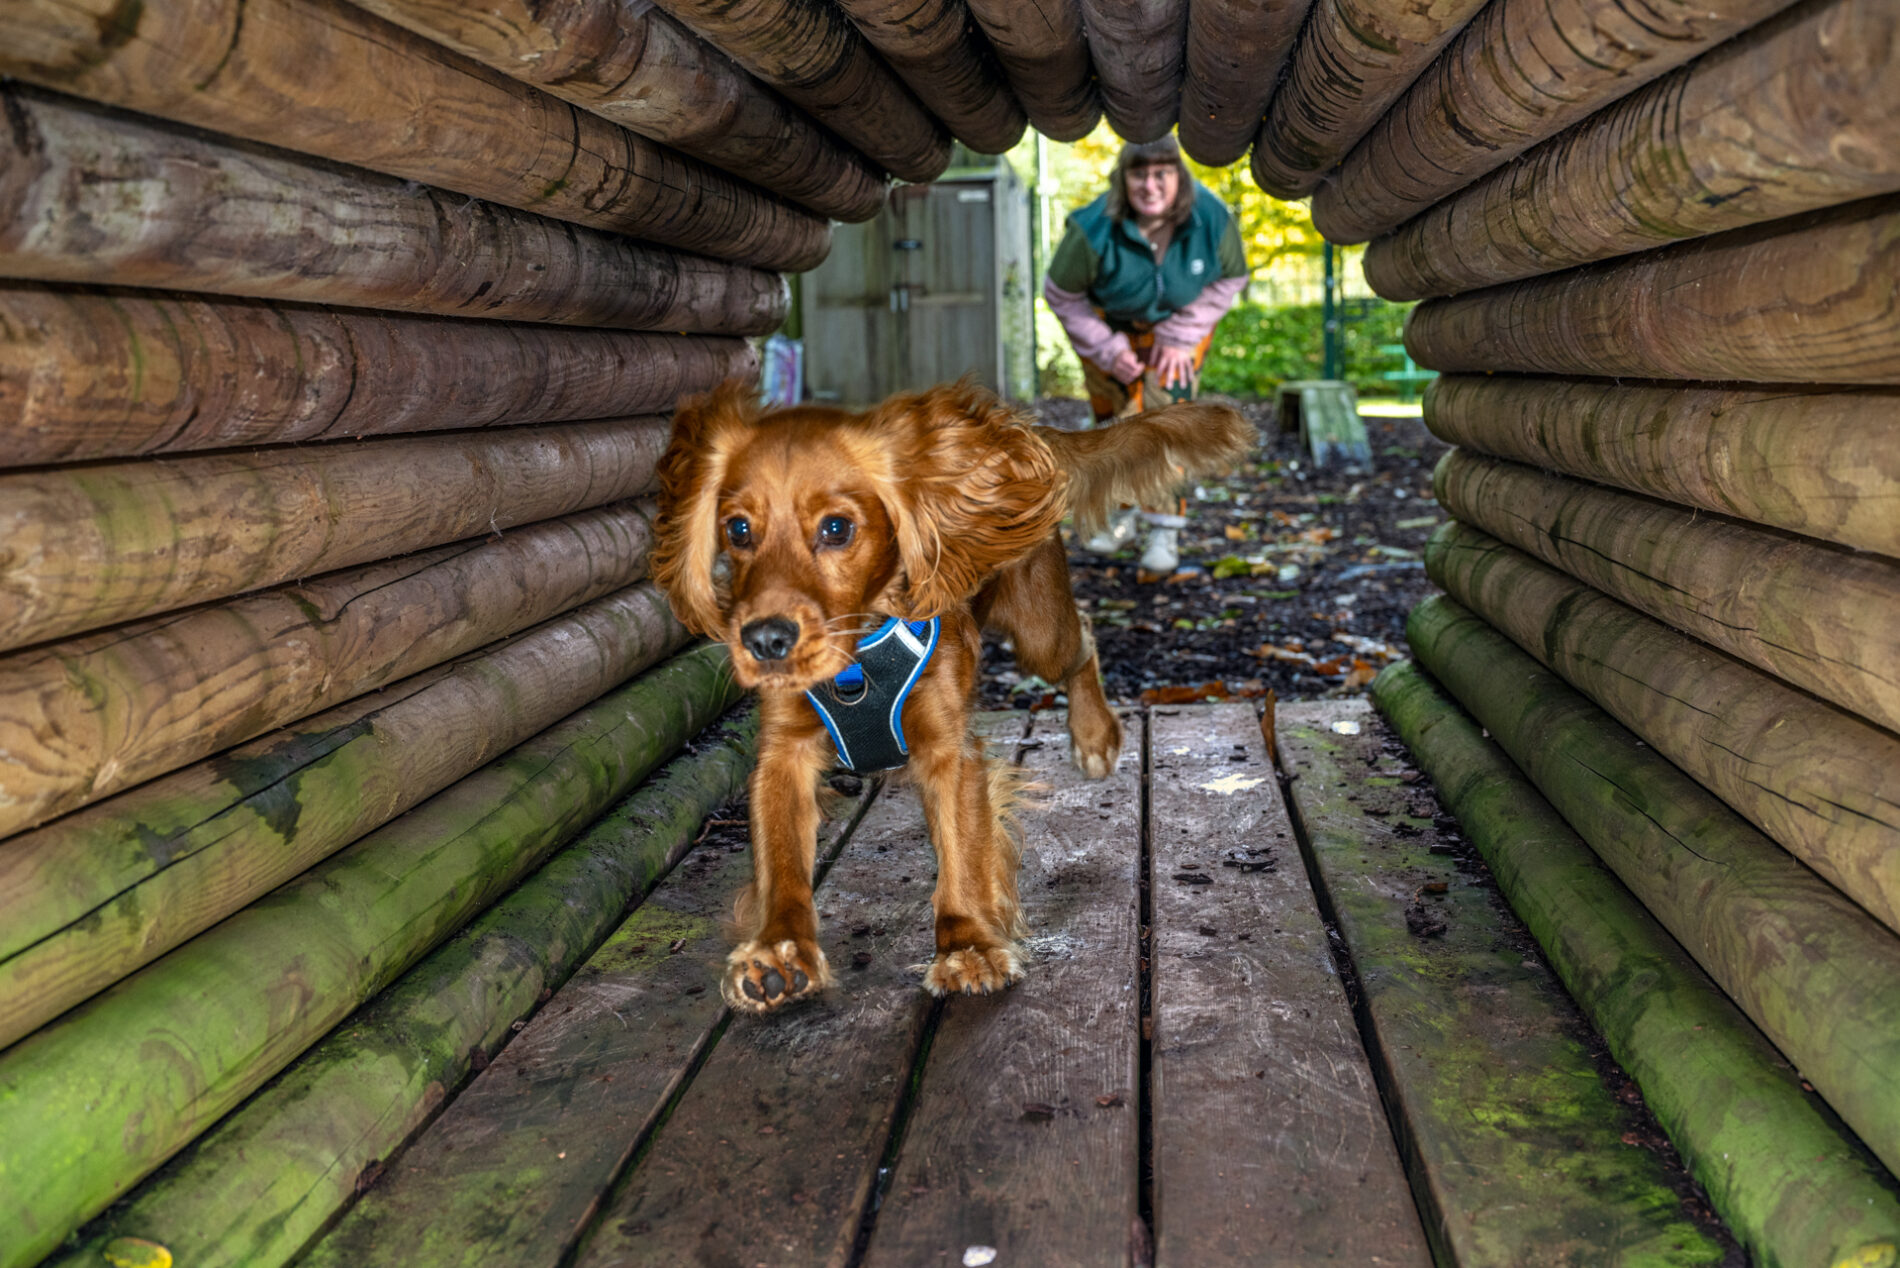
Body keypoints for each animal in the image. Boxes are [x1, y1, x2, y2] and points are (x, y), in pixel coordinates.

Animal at [653, 382, 1261, 1018]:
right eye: (738, 530)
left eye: (837, 528)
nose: (765, 641)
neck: (858, 656)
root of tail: (1013, 443)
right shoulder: (783, 756)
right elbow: (781, 863)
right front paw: (777, 951)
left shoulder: (951, 752)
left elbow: (964, 856)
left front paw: (968, 946)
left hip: (1041, 632)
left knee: (1083, 644)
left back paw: (1095, 736)